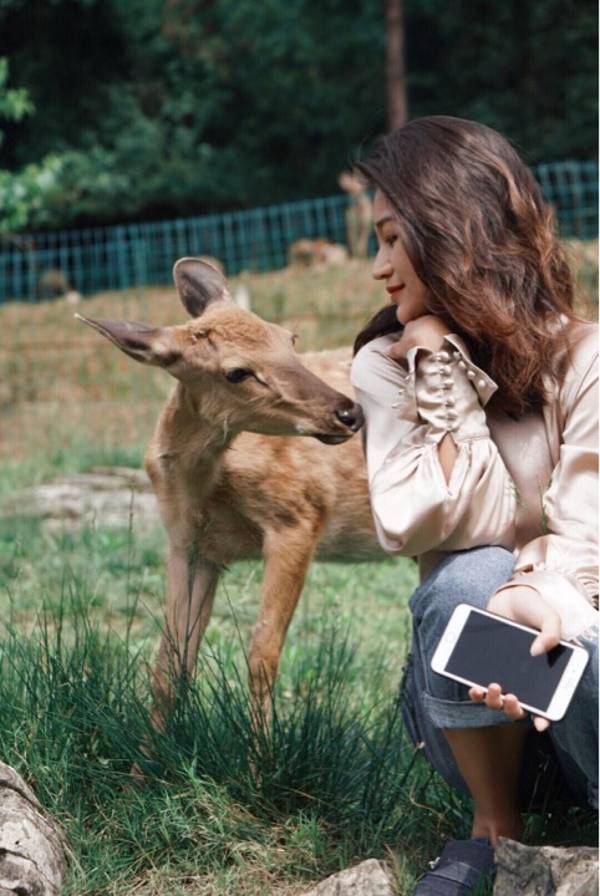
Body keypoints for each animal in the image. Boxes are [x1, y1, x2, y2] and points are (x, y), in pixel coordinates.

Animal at [77, 258, 385, 726]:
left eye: (289, 338)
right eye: (236, 372)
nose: (349, 412)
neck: (205, 489)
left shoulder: (299, 516)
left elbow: (262, 656)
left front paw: (264, 748)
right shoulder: (189, 544)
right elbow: (170, 660)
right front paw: (150, 748)